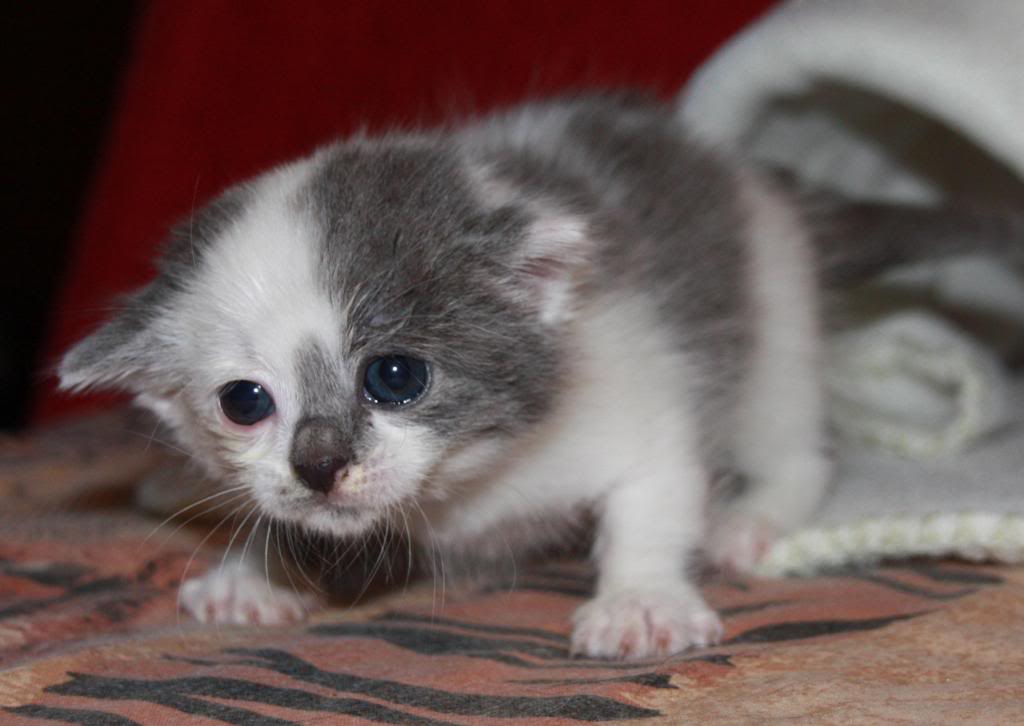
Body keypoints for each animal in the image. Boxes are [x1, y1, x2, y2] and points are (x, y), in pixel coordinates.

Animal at [59, 93, 1019, 659]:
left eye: (396, 376)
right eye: (244, 402)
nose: (320, 465)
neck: (469, 491)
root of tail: (755, 179)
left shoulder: (642, 391)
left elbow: (654, 498)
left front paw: (640, 601)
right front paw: (255, 571)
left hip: (774, 320)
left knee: (795, 441)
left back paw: (752, 519)